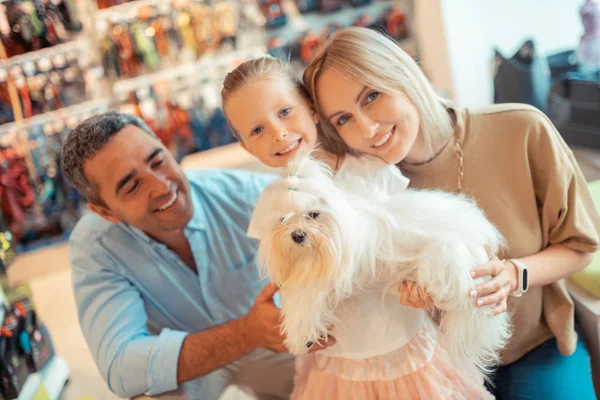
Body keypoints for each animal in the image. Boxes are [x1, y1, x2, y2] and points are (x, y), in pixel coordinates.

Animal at [253, 152, 510, 380]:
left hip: (447, 254)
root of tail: (480, 229)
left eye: (313, 214)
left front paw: (299, 337)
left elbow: (302, 302)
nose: (297, 235)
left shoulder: (325, 276)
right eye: (283, 220)